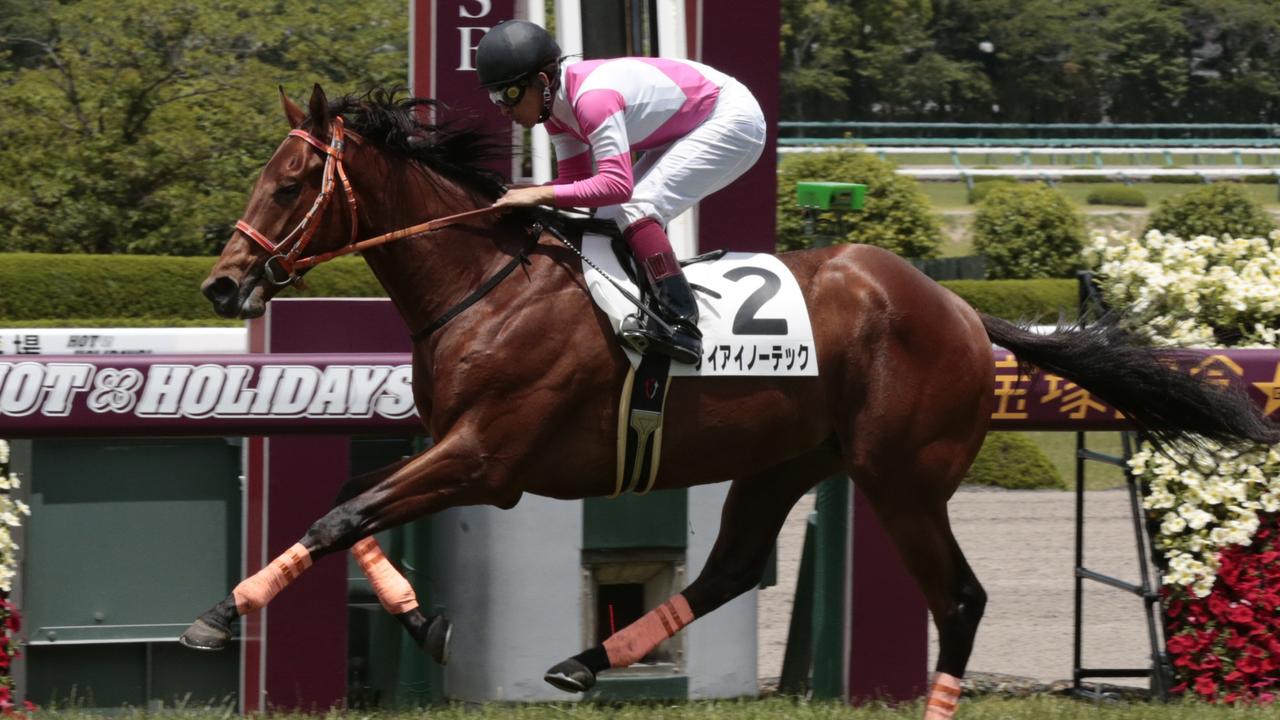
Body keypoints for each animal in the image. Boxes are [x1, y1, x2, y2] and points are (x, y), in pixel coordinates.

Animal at [185, 83, 1274, 712]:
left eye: (291, 183)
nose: (224, 287)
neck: (485, 285)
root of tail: (965, 312)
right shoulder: (444, 442)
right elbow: (350, 510)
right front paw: (416, 616)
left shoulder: (488, 457)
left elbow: (344, 515)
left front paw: (220, 617)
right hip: (782, 463)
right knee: (731, 570)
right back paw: (587, 660)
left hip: (902, 478)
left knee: (958, 598)